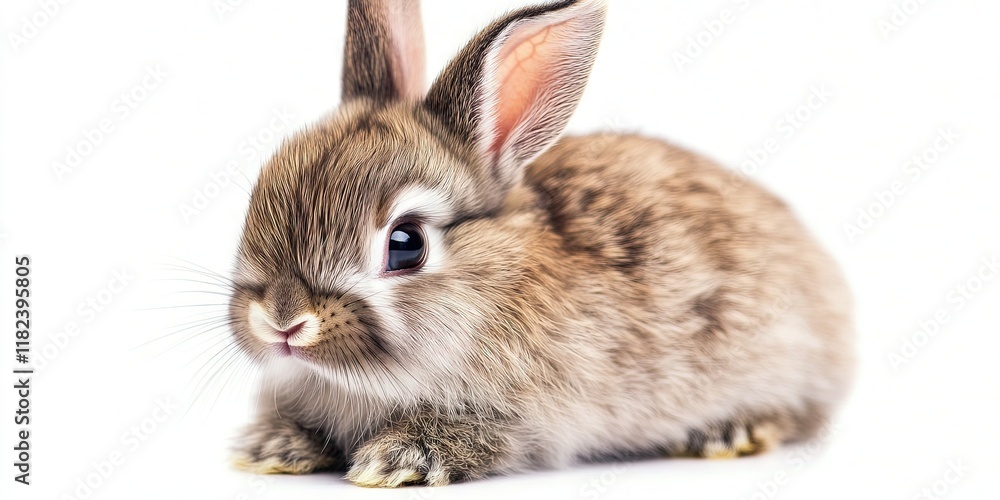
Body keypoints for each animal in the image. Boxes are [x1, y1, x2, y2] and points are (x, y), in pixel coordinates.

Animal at [227, 0, 855, 487]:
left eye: (406, 244)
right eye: (258, 193)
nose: (282, 321)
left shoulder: (529, 418)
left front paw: (398, 459)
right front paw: (270, 447)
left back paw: (729, 432)